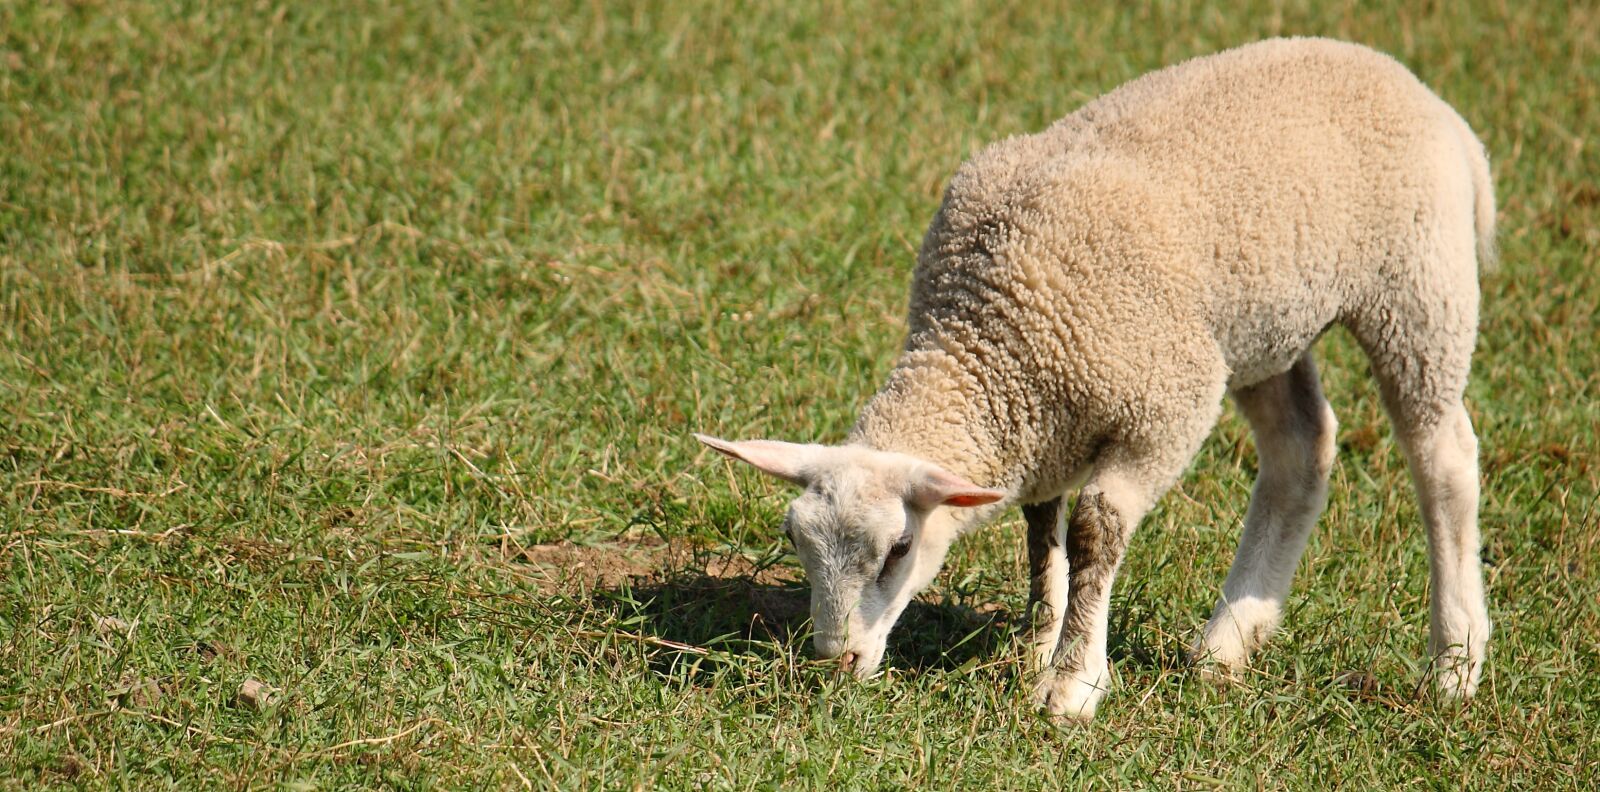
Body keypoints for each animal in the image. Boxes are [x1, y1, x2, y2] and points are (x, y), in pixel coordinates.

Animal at [696, 37, 1494, 719]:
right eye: (795, 540)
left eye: (897, 550)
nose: (834, 663)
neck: (986, 337)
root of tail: (1429, 100)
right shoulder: (1046, 422)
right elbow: (1039, 528)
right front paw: (1034, 647)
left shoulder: (1166, 404)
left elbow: (1094, 530)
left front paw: (1072, 682)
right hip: (1261, 325)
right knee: (1303, 453)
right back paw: (1228, 645)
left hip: (1418, 286)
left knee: (1443, 457)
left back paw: (1455, 660)